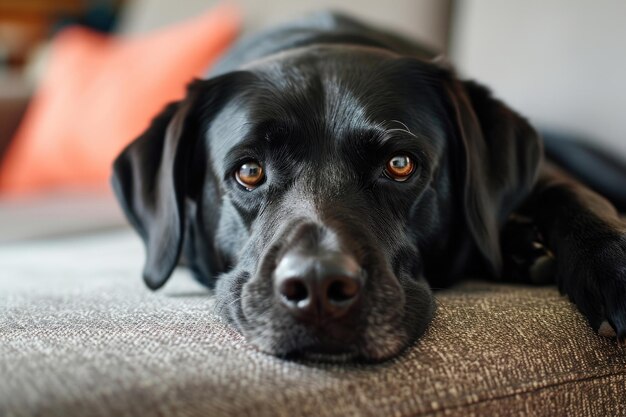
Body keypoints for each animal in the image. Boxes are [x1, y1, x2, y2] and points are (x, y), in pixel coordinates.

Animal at [113, 11, 624, 360]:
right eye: (249, 171)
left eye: (399, 165)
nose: (318, 286)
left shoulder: (555, 176)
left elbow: (570, 193)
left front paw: (610, 263)